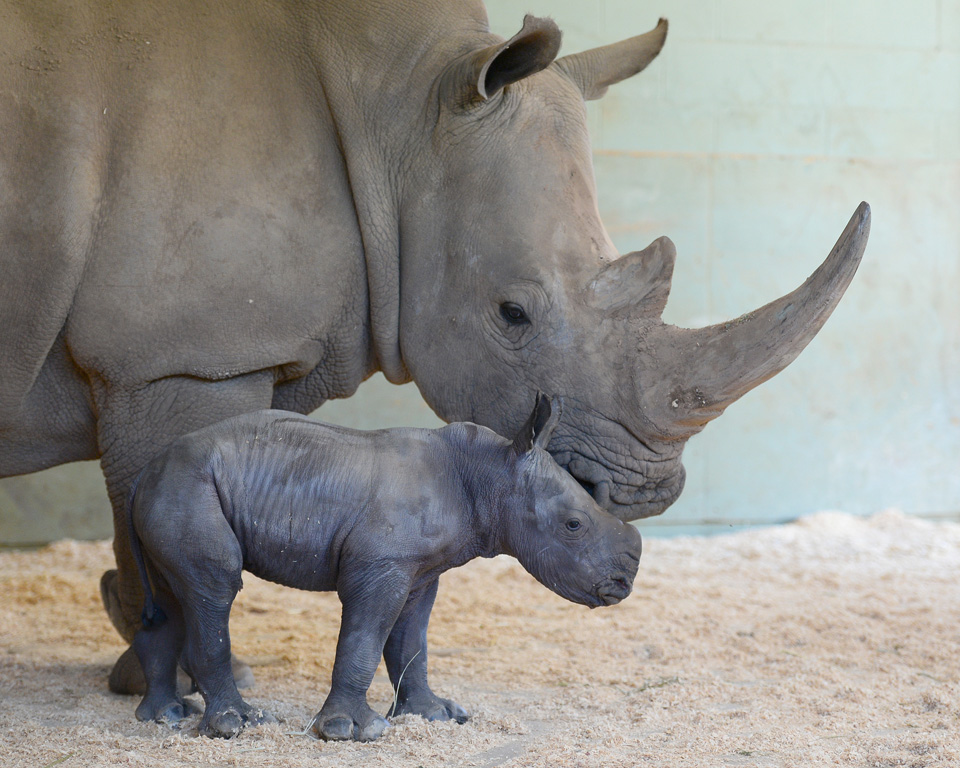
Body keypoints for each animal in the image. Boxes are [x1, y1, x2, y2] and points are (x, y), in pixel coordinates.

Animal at [125, 392, 636, 740]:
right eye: (573, 525)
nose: (624, 581)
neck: (489, 474)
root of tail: (145, 471)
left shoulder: (420, 570)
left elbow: (411, 643)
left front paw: (436, 714)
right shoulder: (381, 565)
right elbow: (364, 640)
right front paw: (352, 732)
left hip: (175, 492)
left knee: (176, 595)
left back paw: (167, 716)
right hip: (188, 487)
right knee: (215, 585)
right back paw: (240, 724)